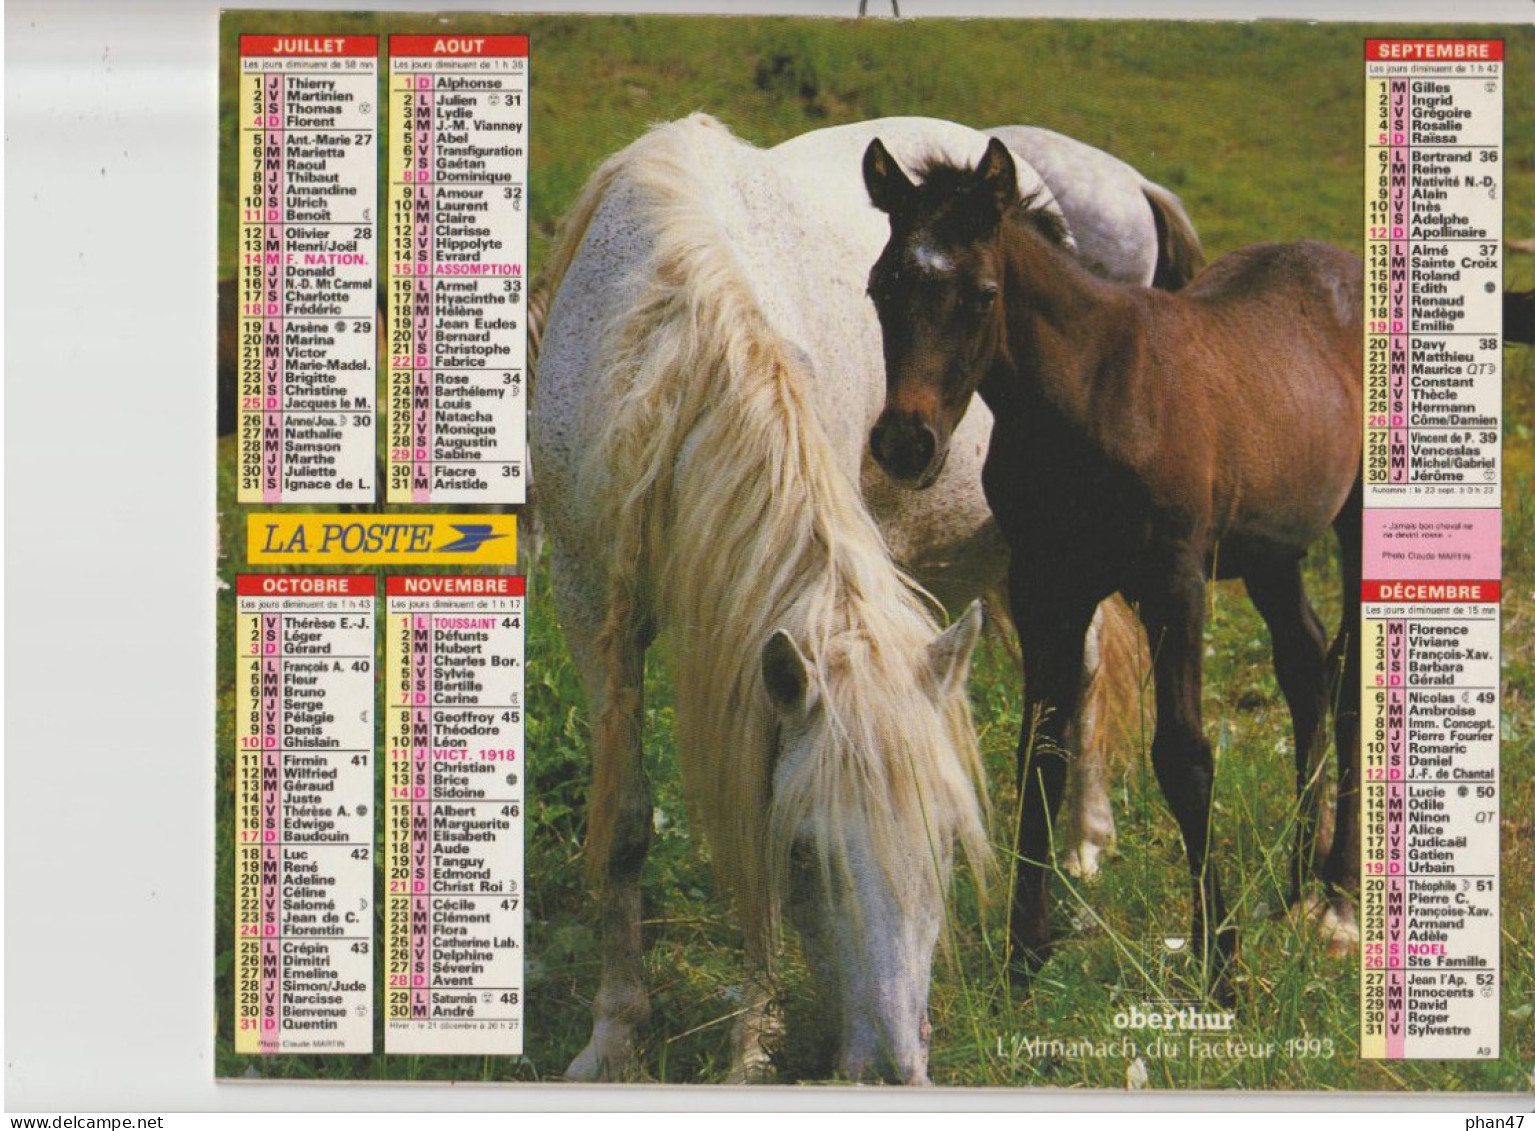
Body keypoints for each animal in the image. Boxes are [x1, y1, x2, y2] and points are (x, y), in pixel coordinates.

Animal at [534, 115, 1203, 1086]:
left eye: (946, 843)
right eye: (805, 851)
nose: (894, 1063)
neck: (666, 348)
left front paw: (748, 1041)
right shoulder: (591, 604)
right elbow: (627, 824)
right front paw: (615, 1033)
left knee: (1078, 669)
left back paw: (1086, 837)